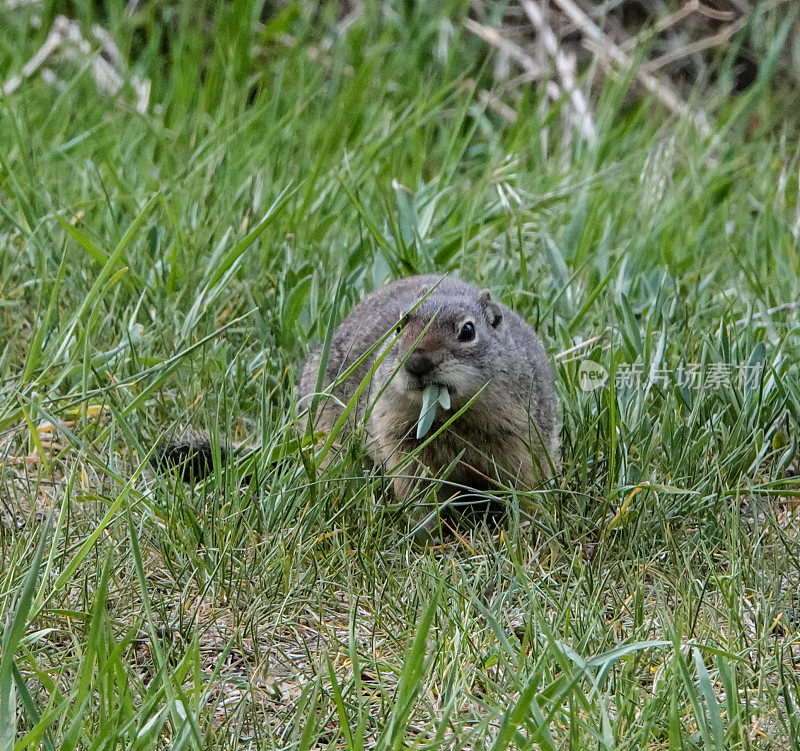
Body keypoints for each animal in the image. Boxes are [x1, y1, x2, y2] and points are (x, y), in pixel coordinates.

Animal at [155, 276, 556, 524]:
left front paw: (531, 523)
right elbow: (413, 483)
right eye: (400, 326)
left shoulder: (519, 433)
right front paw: (426, 527)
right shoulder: (397, 434)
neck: (453, 418)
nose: (416, 362)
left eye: (468, 330)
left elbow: (527, 480)